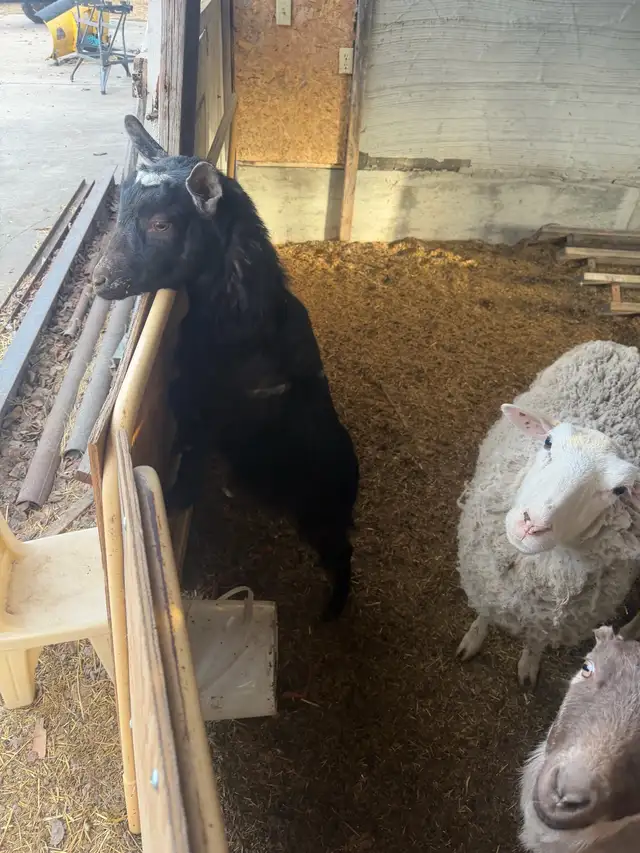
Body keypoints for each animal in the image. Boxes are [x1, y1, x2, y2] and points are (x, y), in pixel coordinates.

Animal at [92, 116, 359, 621]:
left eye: (162, 223)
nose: (100, 279)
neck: (246, 318)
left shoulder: (209, 410)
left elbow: (192, 457)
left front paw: (175, 498)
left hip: (320, 513)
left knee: (341, 554)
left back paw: (333, 612)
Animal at [456, 340, 640, 688]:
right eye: (548, 441)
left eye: (619, 490)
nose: (532, 524)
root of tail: (627, 347)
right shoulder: (485, 581)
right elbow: (484, 613)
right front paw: (473, 638)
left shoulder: (551, 621)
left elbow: (537, 640)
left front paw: (529, 664)